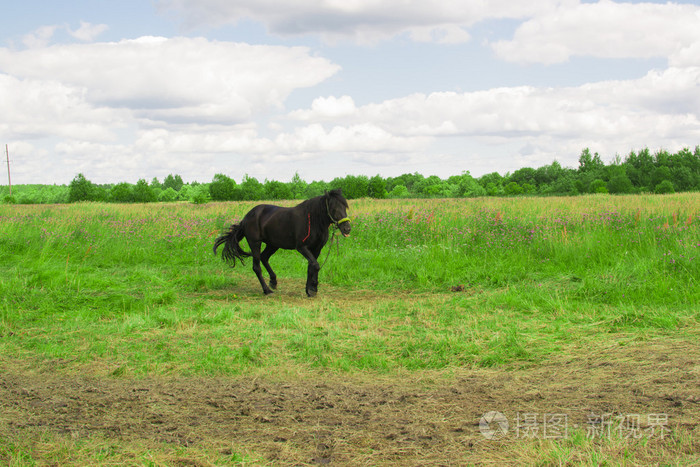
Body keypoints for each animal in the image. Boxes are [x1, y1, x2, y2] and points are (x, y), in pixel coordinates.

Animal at [213, 189, 352, 296]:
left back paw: (273, 282)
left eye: (345, 207)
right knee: (257, 267)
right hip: (255, 243)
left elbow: (312, 267)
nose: (347, 229)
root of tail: (247, 216)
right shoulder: (302, 247)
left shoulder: (316, 249)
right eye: (334, 208)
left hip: (273, 244)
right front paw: (312, 288)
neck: (312, 221)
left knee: (264, 258)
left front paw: (310, 290)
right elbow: (316, 265)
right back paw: (267, 290)